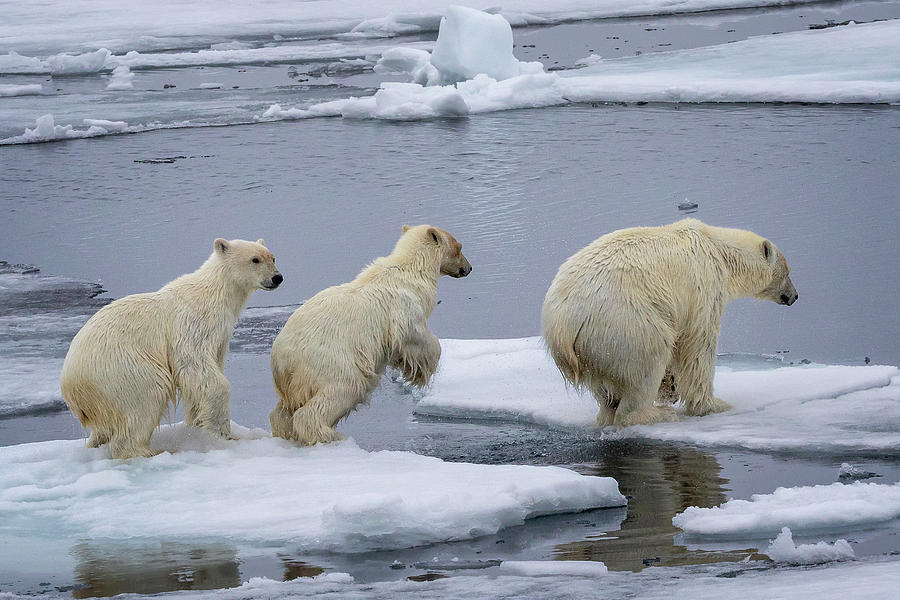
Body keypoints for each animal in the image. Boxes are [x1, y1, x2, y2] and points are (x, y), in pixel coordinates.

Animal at [59, 239, 282, 460]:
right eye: (255, 259)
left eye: (272, 258)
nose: (277, 278)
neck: (215, 293)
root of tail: (71, 385)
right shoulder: (192, 325)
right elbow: (194, 363)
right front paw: (224, 433)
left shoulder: (221, 335)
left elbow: (201, 378)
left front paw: (196, 423)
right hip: (122, 370)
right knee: (147, 397)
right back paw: (153, 450)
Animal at [268, 225, 472, 446]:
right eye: (459, 247)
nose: (469, 268)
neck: (410, 270)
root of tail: (280, 358)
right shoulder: (403, 308)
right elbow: (415, 336)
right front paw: (426, 366)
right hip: (329, 360)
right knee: (344, 388)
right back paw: (329, 435)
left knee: (284, 409)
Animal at [536, 219, 800, 426]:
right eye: (787, 272)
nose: (794, 296)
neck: (718, 248)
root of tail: (560, 328)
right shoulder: (704, 285)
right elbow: (698, 346)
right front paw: (713, 405)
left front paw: (670, 387)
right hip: (624, 324)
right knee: (648, 361)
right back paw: (657, 414)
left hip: (592, 349)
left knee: (604, 389)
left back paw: (608, 413)